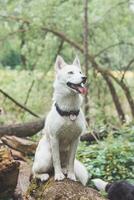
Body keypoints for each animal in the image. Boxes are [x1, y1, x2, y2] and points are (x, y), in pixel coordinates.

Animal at [32, 55, 89, 186]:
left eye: (80, 72)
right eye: (70, 72)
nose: (84, 78)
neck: (69, 111)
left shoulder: (76, 140)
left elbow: (71, 161)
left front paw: (72, 176)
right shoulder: (55, 138)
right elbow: (56, 159)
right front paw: (58, 176)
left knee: (65, 163)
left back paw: (65, 170)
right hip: (45, 159)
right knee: (35, 171)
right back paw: (44, 175)